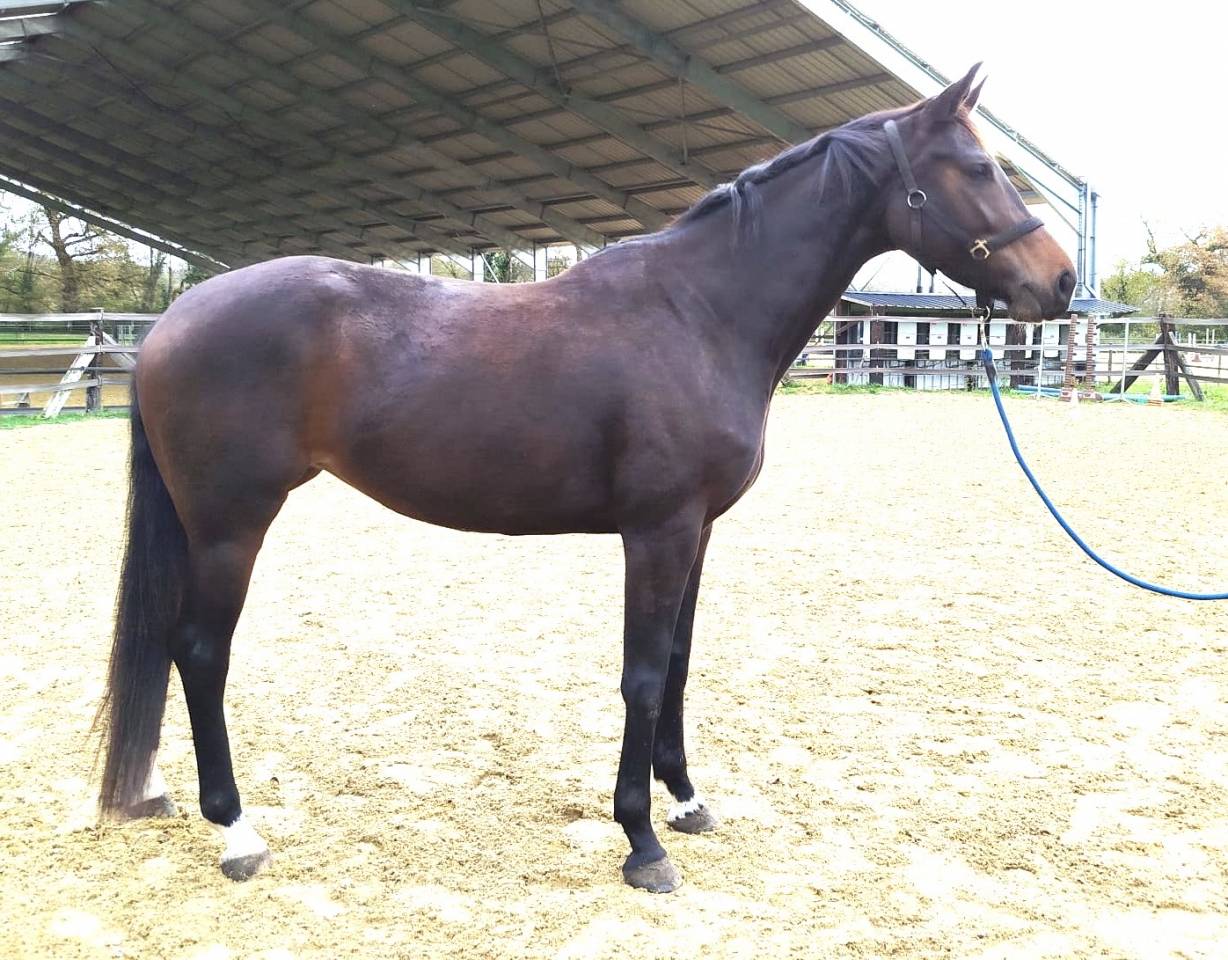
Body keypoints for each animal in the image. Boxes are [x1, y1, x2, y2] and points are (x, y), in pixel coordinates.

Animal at [95, 65, 1075, 893]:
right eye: (980, 168)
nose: (1061, 284)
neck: (700, 313)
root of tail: (176, 318)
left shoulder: (697, 531)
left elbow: (677, 663)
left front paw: (687, 801)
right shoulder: (657, 531)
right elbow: (641, 675)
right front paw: (640, 842)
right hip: (231, 524)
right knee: (200, 654)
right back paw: (237, 832)